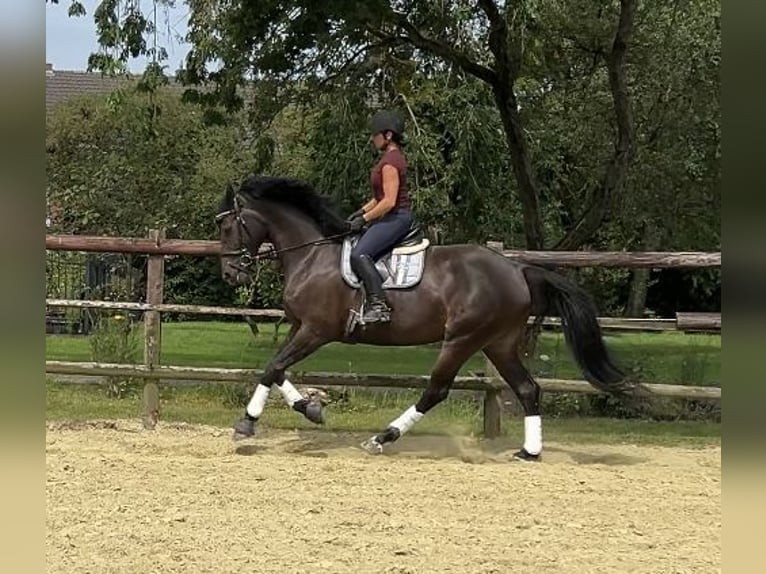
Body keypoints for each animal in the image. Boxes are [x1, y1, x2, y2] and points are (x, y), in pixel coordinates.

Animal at [214, 178, 632, 462]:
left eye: (227, 227)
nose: (232, 274)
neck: (311, 257)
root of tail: (517, 269)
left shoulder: (317, 331)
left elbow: (273, 367)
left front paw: (248, 423)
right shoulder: (300, 327)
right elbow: (277, 368)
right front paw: (311, 409)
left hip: (462, 339)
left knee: (437, 390)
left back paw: (382, 438)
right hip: (498, 343)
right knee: (528, 389)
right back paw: (529, 452)